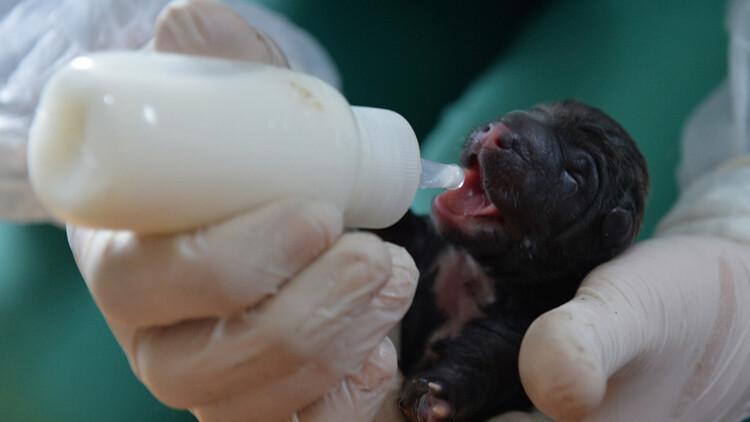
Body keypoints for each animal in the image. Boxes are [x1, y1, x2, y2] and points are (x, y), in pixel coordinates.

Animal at [376, 100, 652, 420]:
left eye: (573, 176)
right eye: (535, 110)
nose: (497, 131)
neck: (478, 273)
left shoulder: (520, 326)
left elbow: (486, 361)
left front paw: (437, 393)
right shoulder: (429, 251)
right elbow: (398, 231)